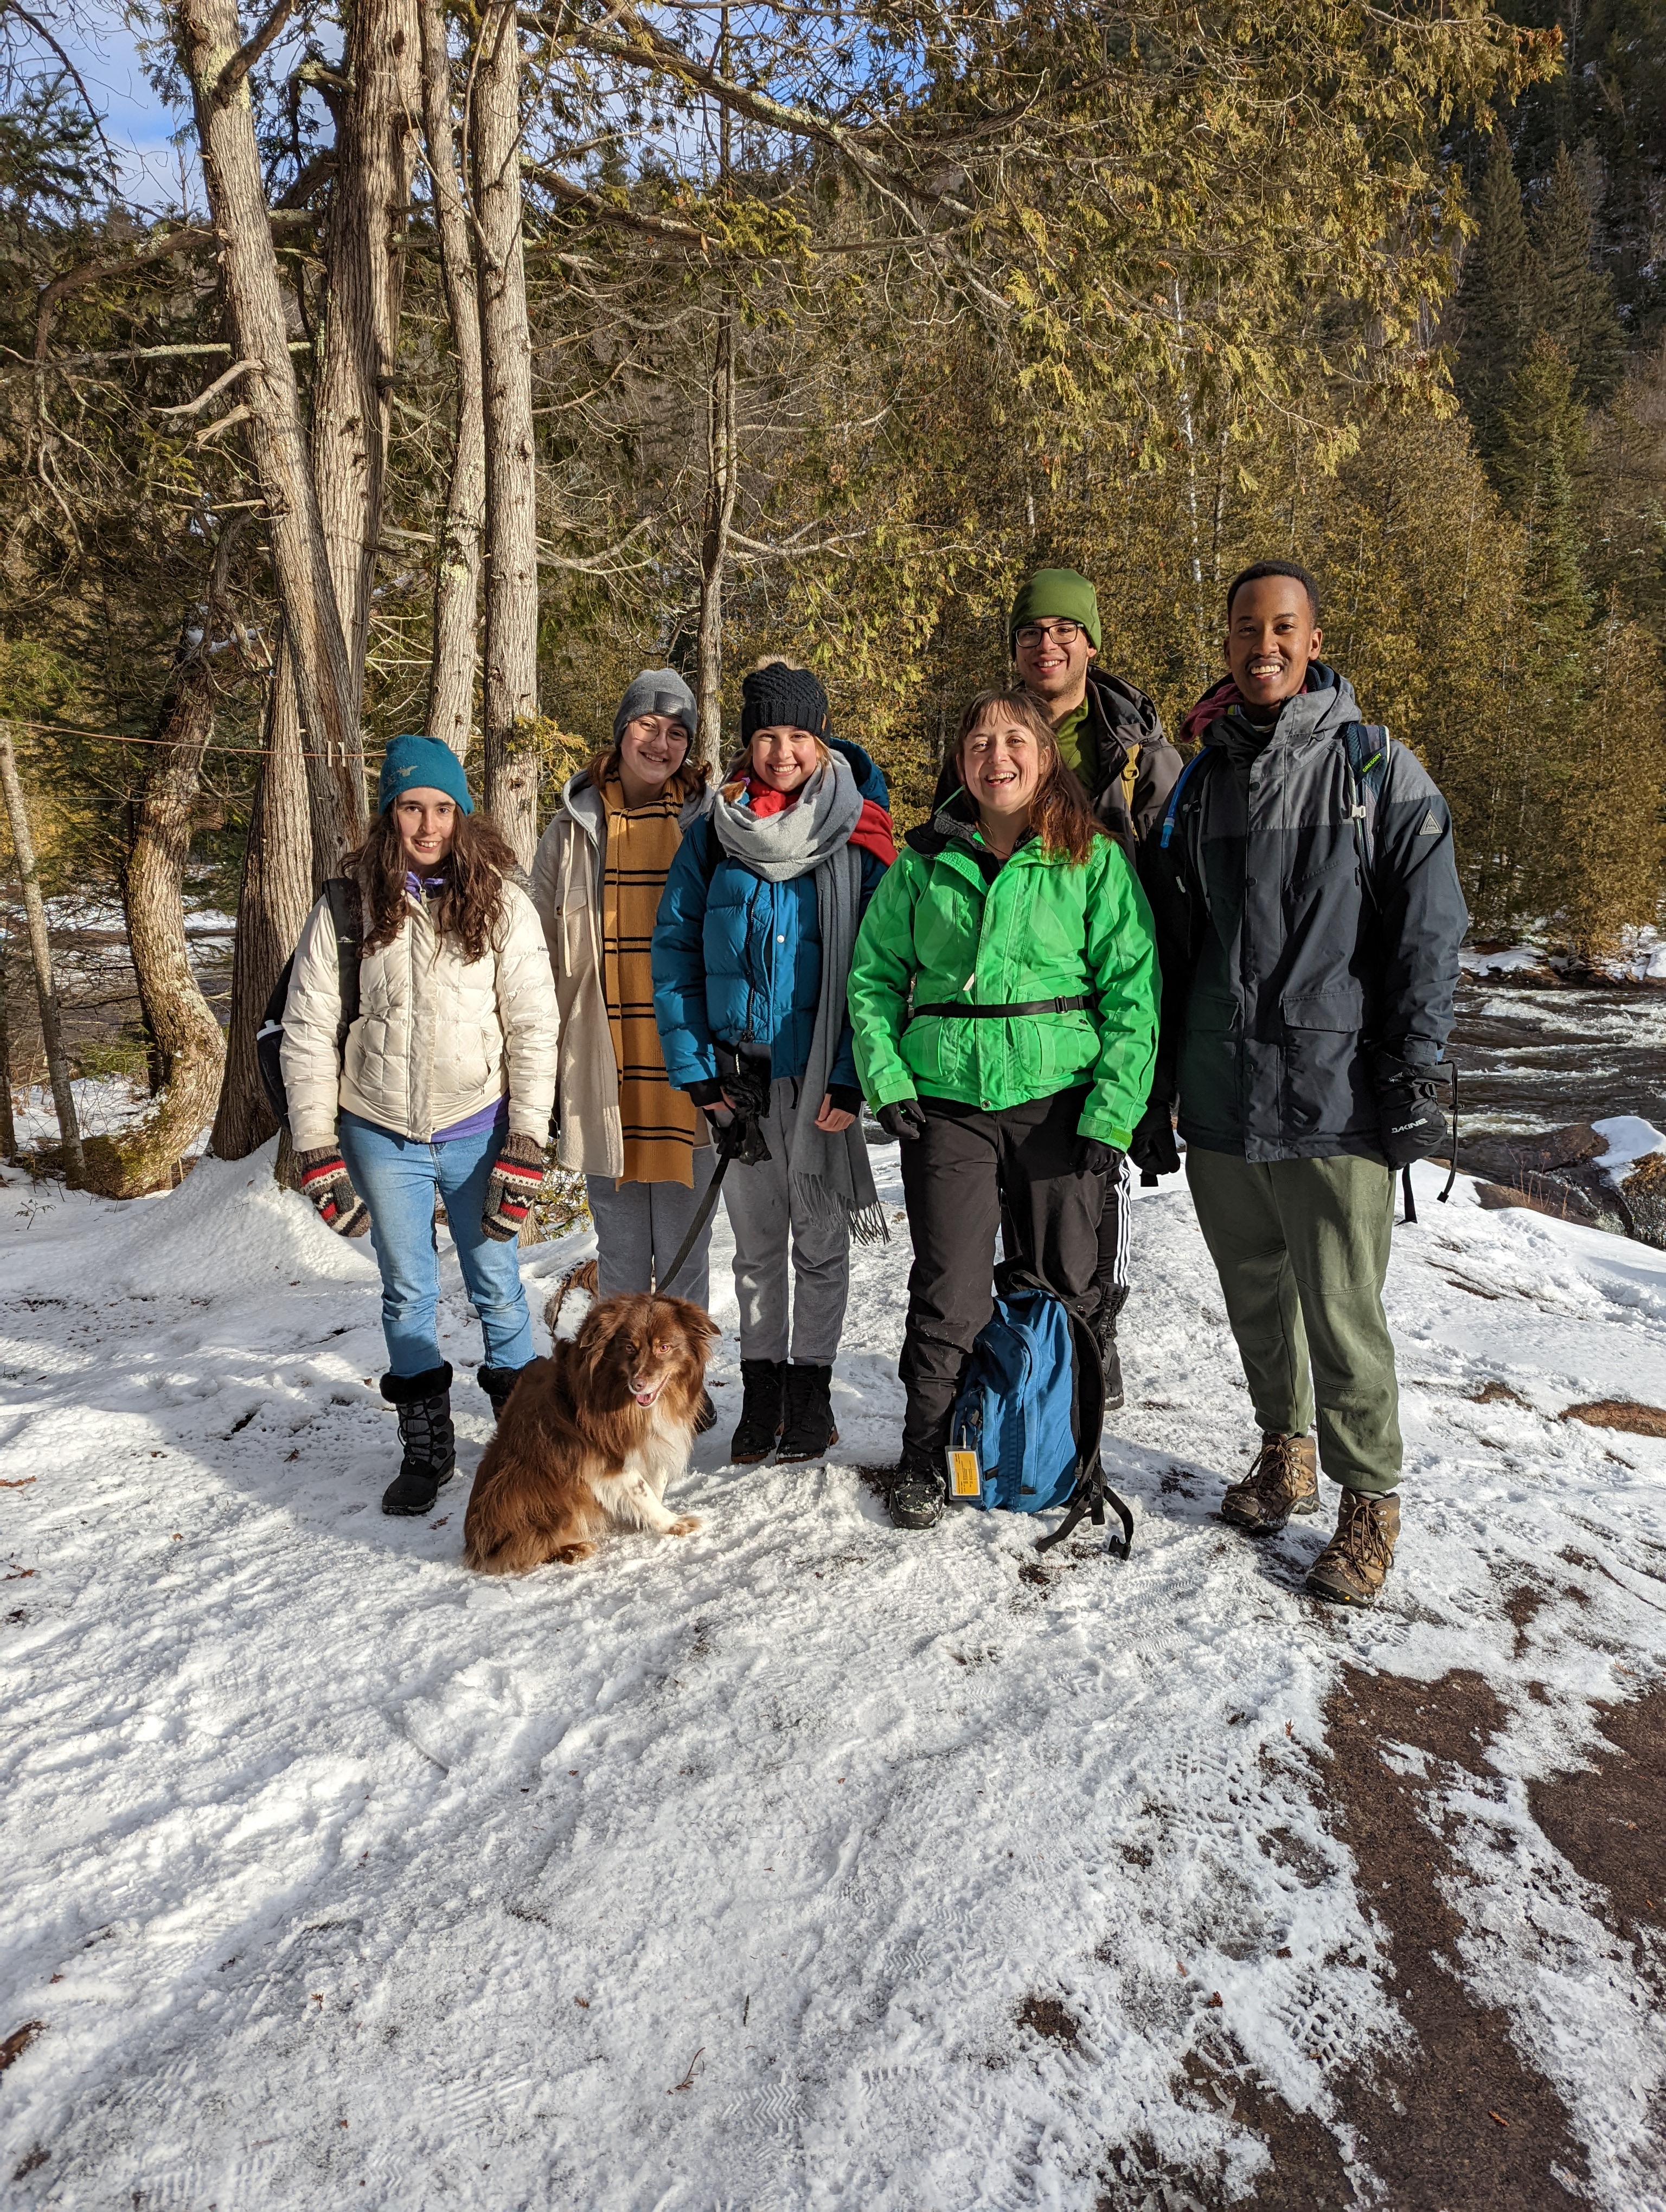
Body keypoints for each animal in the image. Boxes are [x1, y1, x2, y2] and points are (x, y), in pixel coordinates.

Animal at [462, 1291, 716, 1584]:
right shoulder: (607, 1457)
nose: (638, 1385)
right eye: (629, 1347)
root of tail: (475, 1547)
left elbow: (656, 1482)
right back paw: (573, 1549)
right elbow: (642, 1490)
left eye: (664, 1347)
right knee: (522, 1550)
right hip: (538, 1493)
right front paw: (673, 1522)